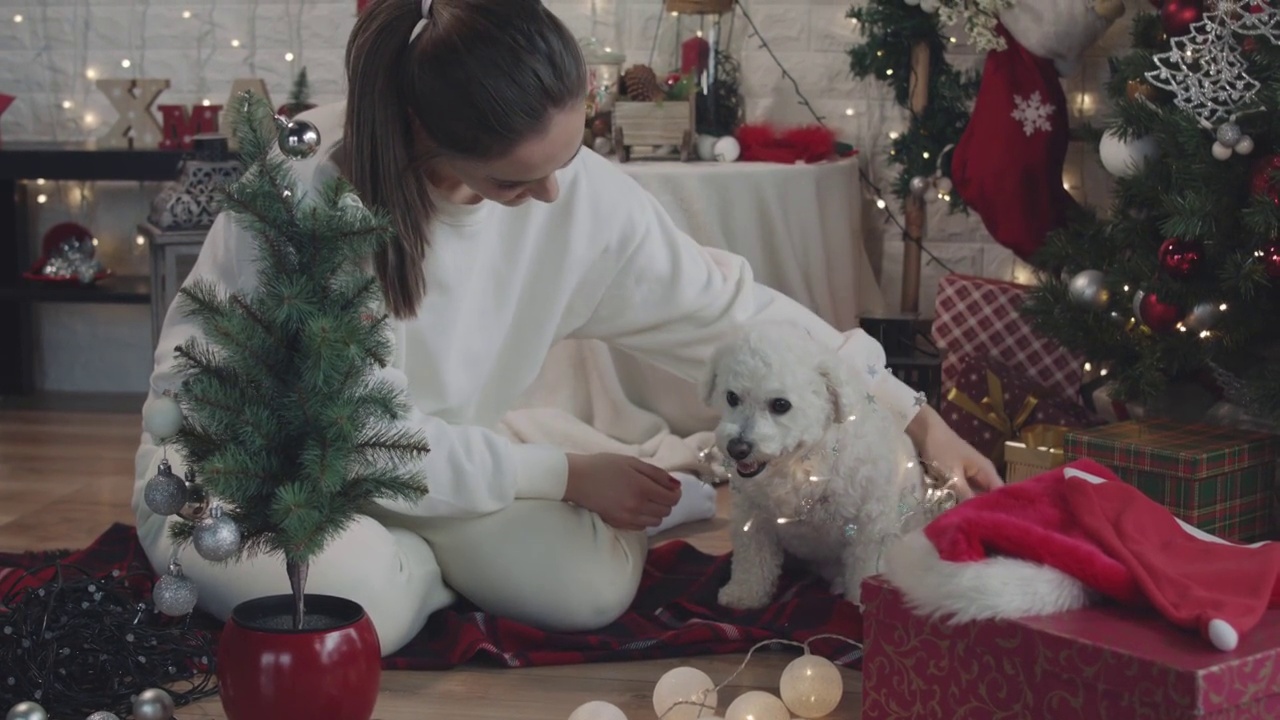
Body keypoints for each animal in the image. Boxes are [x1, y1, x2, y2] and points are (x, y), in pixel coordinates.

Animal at [711, 324, 931, 604]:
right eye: (731, 397)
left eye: (780, 405)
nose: (737, 448)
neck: (800, 463)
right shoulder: (751, 518)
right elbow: (752, 558)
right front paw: (744, 594)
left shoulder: (871, 526)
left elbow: (866, 568)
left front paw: (863, 603)